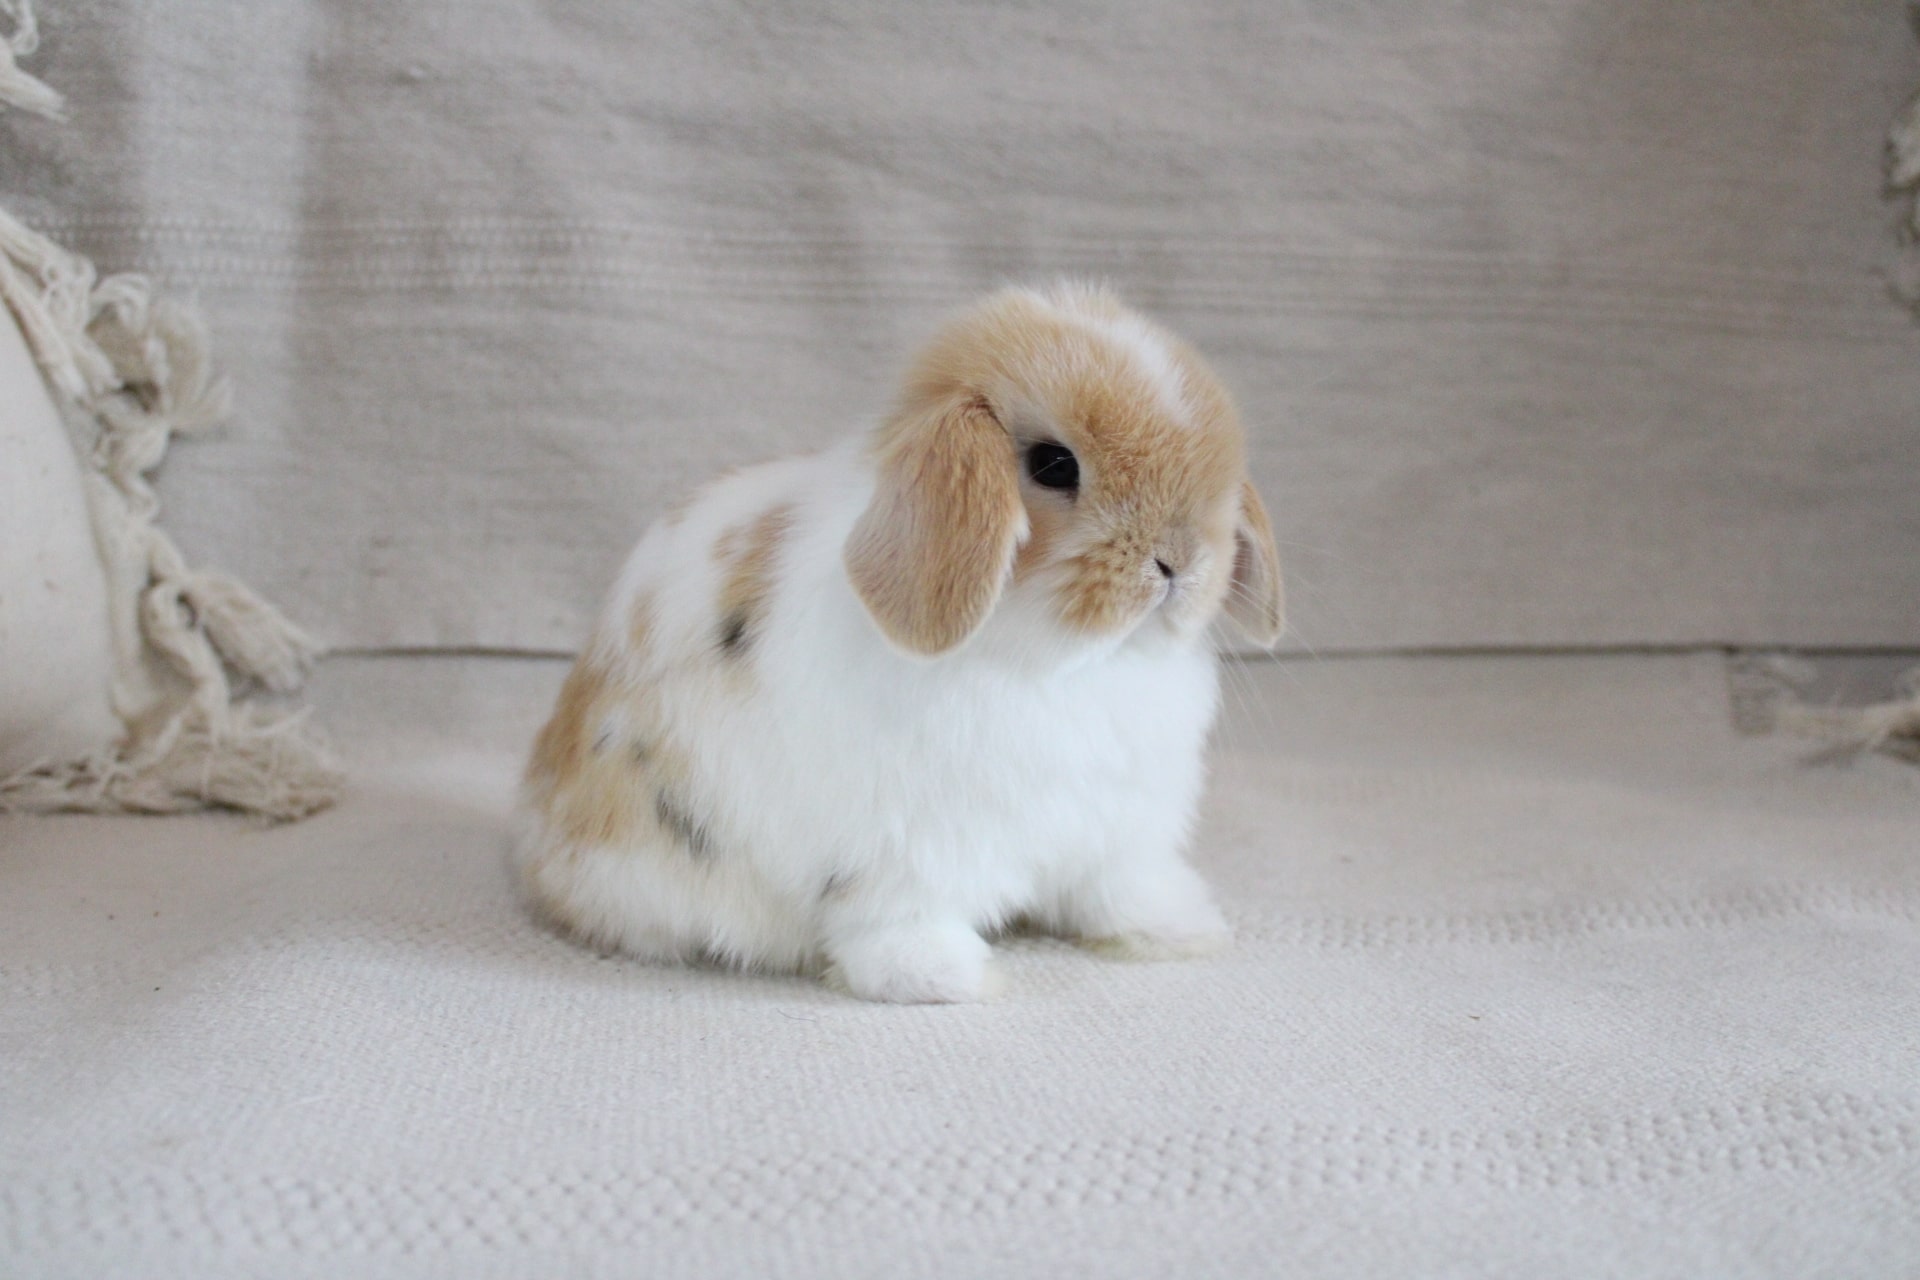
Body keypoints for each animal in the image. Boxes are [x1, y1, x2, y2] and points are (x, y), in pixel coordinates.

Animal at [514, 282, 1282, 1003]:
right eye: (1054, 464)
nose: (1180, 561)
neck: (1058, 658)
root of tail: (537, 837)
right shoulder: (906, 851)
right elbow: (898, 917)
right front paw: (944, 978)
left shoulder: (1119, 834)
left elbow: (1119, 891)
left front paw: (1181, 932)